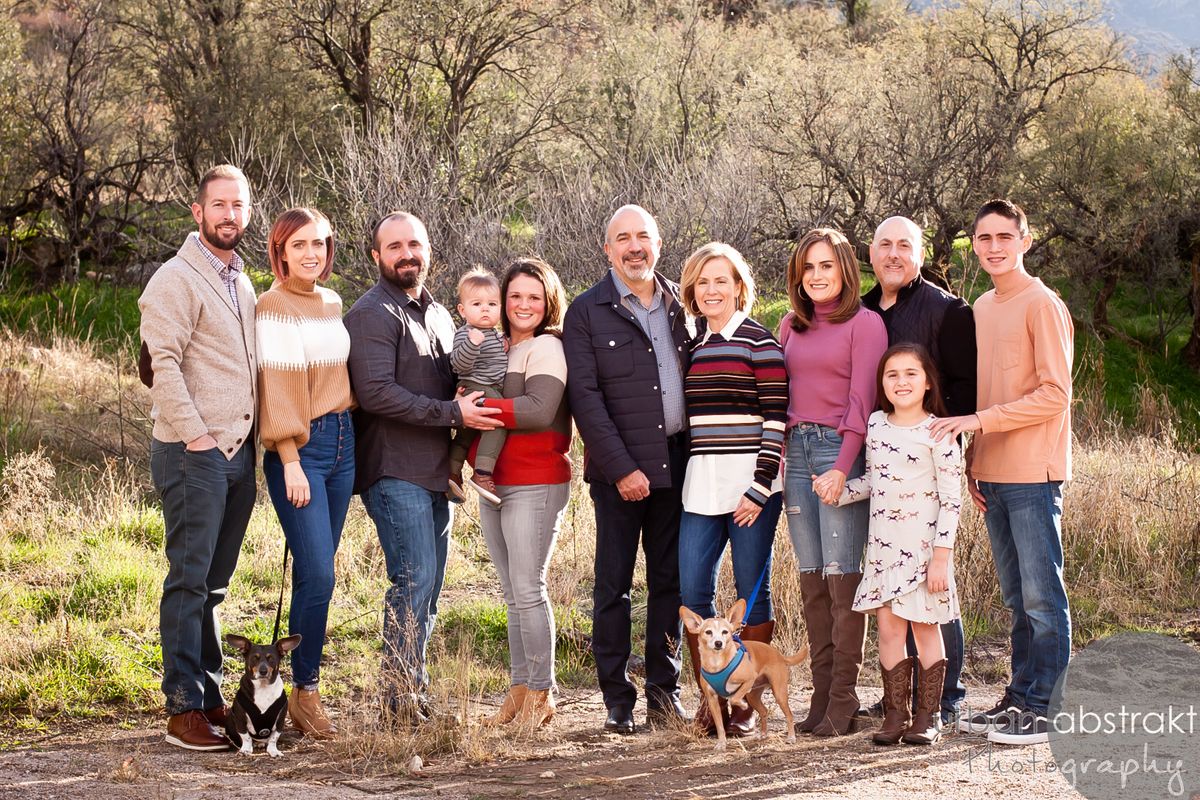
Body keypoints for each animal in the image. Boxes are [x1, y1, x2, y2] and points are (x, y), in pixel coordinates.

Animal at [686, 599, 806, 753]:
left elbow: (734, 699)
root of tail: (779, 655)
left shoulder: (749, 679)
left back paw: (791, 737)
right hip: (753, 696)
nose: (718, 643)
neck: (717, 663)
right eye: (708, 632)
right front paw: (721, 744)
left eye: (725, 632)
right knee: (764, 711)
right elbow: (719, 726)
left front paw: (742, 705)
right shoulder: (712, 700)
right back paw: (763, 734)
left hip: (778, 693)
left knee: (789, 715)